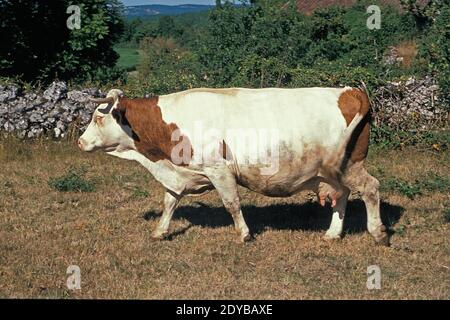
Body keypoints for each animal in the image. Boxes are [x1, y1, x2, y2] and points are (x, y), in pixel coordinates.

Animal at [79, 87, 388, 245]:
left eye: (98, 117)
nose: (80, 142)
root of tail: (350, 91)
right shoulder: (180, 174)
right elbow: (169, 202)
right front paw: (159, 231)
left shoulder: (219, 170)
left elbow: (232, 204)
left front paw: (244, 234)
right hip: (334, 173)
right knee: (343, 196)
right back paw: (333, 233)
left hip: (349, 165)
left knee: (371, 188)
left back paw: (378, 233)